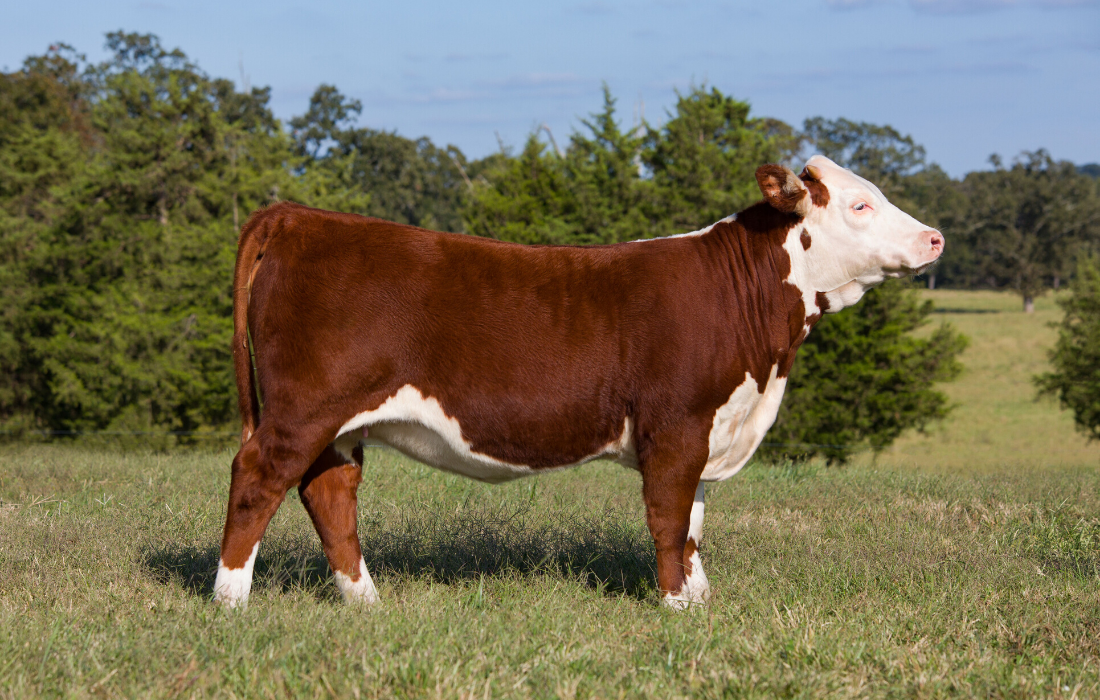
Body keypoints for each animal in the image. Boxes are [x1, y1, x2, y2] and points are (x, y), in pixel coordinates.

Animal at [213, 155, 944, 610]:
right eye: (859, 205)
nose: (935, 238)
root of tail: (299, 215)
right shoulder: (676, 426)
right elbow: (668, 517)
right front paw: (675, 605)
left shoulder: (713, 427)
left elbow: (694, 521)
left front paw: (700, 599)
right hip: (303, 408)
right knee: (258, 477)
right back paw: (230, 601)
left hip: (337, 423)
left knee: (330, 492)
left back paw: (366, 601)